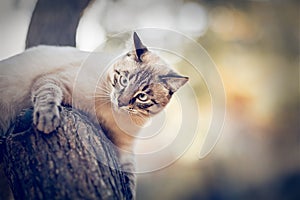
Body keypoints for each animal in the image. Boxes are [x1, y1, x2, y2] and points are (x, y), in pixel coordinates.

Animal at [0, 32, 188, 152]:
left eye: (142, 97)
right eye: (124, 80)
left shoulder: (124, 148)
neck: (110, 114)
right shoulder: (56, 80)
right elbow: (49, 96)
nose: (120, 102)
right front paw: (47, 119)